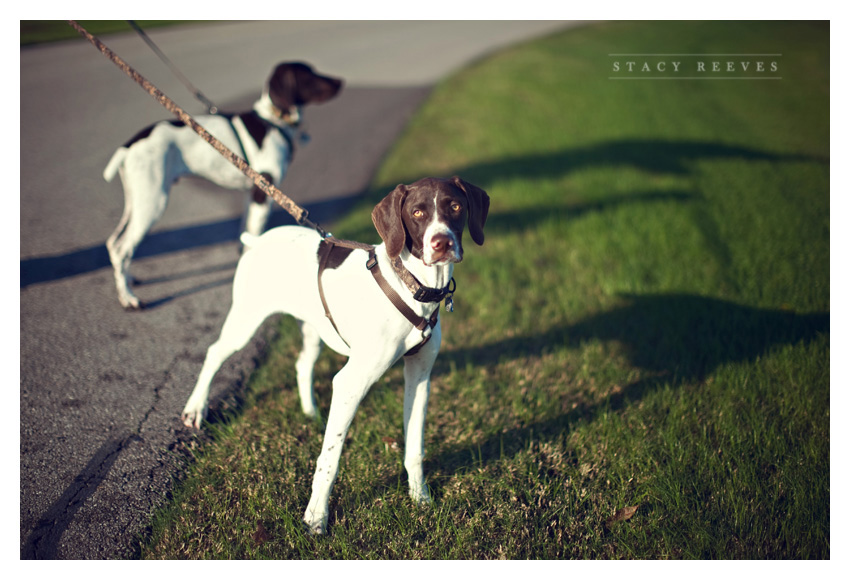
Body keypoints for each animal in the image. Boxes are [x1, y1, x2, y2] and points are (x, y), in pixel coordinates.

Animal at [105, 61, 342, 310]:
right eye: (308, 76)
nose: (340, 82)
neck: (273, 121)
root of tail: (129, 146)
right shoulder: (263, 194)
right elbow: (253, 235)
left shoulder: (252, 195)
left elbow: (244, 235)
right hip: (153, 201)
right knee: (122, 249)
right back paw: (128, 298)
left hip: (138, 198)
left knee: (113, 243)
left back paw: (128, 279)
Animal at [182, 177, 490, 536]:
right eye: (417, 212)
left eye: (455, 206)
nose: (442, 243)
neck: (412, 286)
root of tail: (257, 240)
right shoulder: (350, 383)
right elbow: (330, 458)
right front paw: (316, 516)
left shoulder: (419, 377)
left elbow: (414, 447)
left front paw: (420, 498)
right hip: (245, 321)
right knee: (215, 353)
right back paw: (195, 409)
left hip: (313, 328)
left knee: (302, 363)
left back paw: (310, 412)